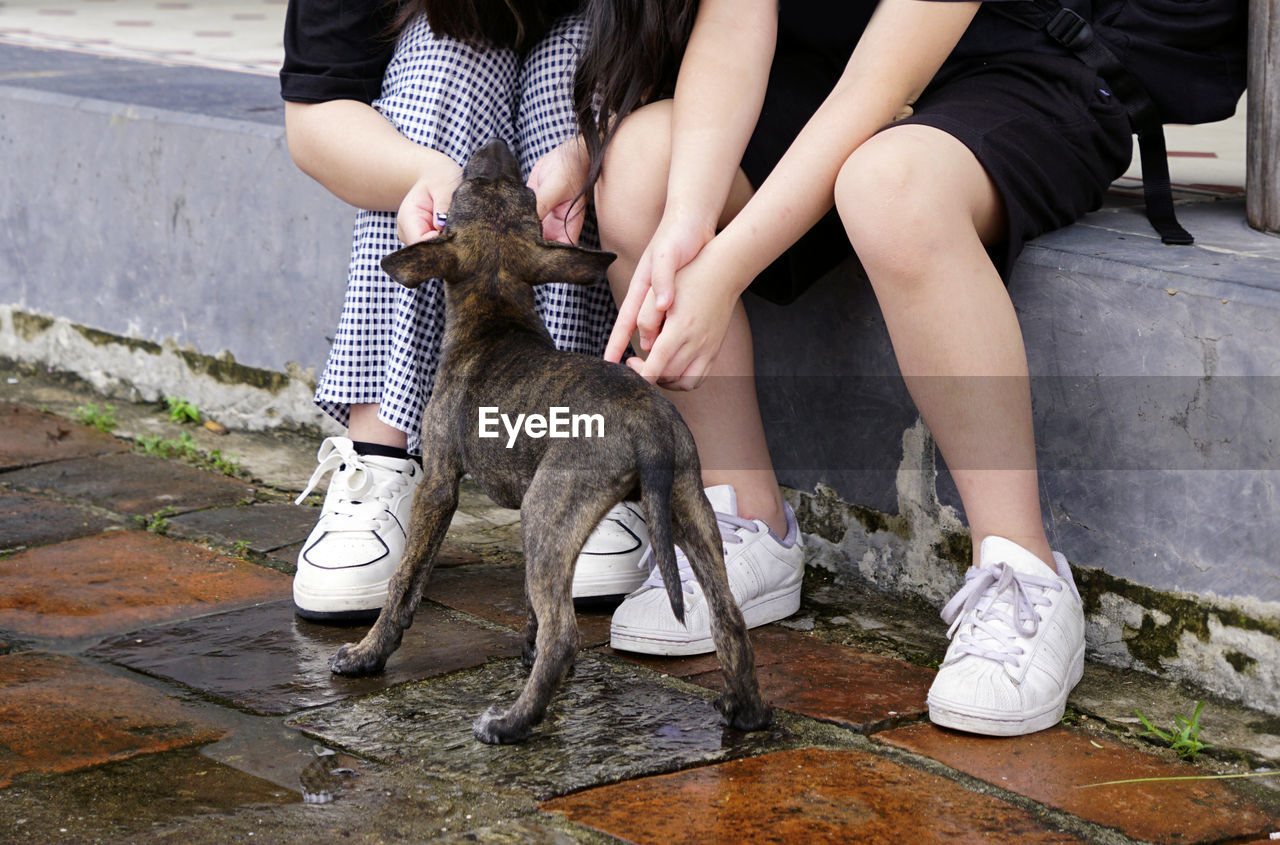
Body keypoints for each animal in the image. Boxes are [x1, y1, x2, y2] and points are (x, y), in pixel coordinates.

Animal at [330, 140, 768, 747]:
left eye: (462, 191)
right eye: (523, 193)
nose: (495, 146)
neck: (496, 312)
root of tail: (647, 423)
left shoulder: (439, 482)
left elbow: (405, 581)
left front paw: (368, 653)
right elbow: (529, 602)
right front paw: (526, 647)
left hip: (549, 507)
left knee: (565, 633)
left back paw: (511, 722)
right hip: (682, 505)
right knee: (728, 617)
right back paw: (745, 711)